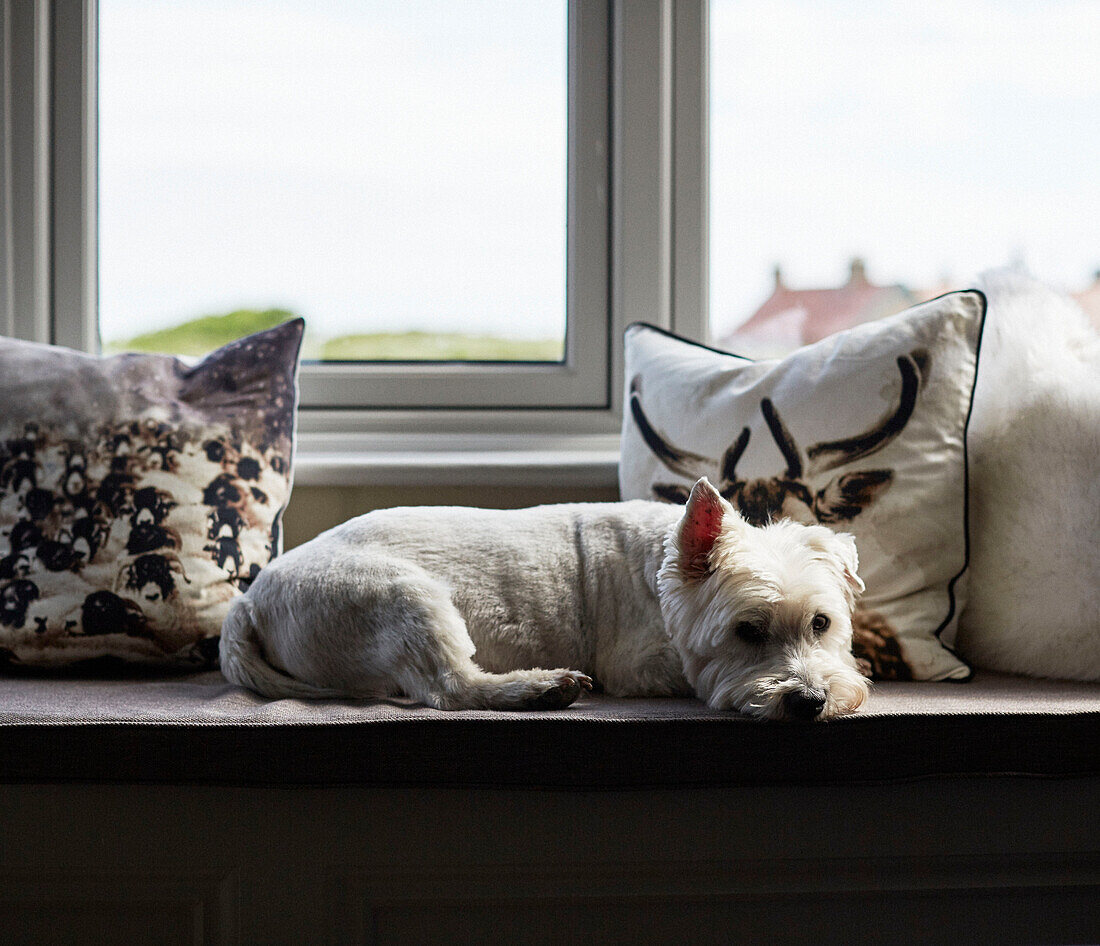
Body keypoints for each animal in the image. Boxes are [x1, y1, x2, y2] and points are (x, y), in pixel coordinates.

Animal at [221, 477, 866, 721]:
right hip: (402, 596)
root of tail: (248, 603)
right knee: (450, 685)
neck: (659, 569)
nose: (811, 700)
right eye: (746, 631)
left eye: (821, 623)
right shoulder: (633, 663)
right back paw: (541, 686)